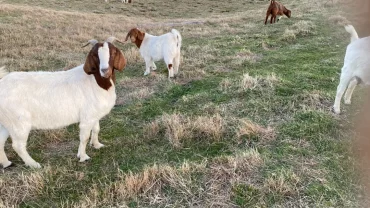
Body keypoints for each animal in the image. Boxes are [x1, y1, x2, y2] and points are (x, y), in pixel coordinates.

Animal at [0, 37, 127, 168]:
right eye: (94, 54)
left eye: (113, 52)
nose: (105, 71)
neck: (96, 82)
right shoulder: (86, 118)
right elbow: (84, 137)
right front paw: (83, 156)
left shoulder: (94, 115)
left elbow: (96, 129)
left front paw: (97, 145)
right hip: (19, 123)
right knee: (18, 146)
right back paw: (33, 164)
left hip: (6, 122)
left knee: (1, 141)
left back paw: (6, 163)